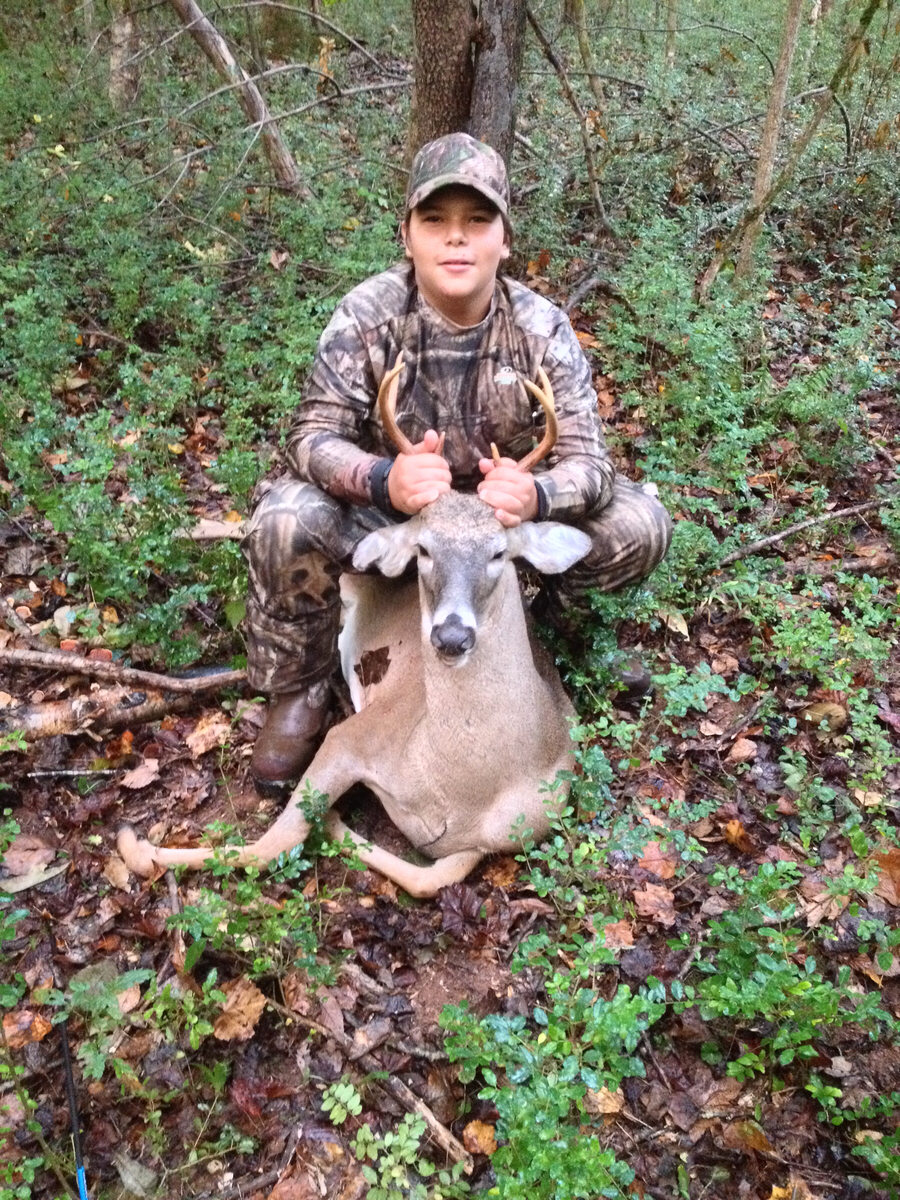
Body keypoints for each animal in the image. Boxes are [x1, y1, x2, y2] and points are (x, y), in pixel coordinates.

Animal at [118, 355, 591, 897]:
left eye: (499, 553)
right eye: (423, 549)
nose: (451, 636)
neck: (462, 786)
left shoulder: (502, 839)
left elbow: (426, 879)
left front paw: (334, 822)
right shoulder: (353, 737)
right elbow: (269, 846)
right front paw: (137, 847)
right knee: (258, 519)